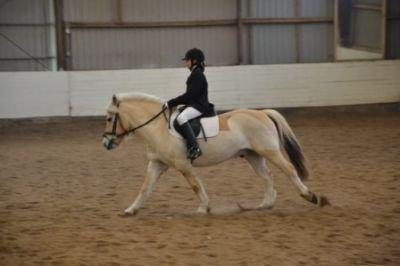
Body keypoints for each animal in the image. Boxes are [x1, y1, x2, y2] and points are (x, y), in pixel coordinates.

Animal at [102, 92, 328, 215]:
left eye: (109, 118)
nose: (106, 143)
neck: (157, 127)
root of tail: (262, 113)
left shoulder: (182, 164)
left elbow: (195, 185)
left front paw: (204, 208)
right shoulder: (157, 164)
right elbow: (145, 188)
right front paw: (131, 210)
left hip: (269, 151)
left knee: (289, 169)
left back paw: (311, 196)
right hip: (253, 155)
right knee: (266, 177)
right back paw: (265, 204)